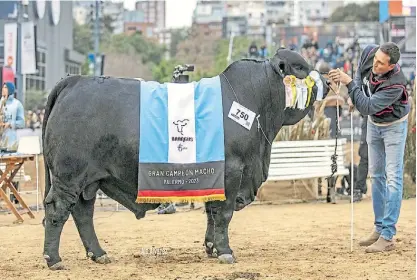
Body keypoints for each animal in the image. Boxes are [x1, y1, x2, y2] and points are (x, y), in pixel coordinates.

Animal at [41, 47, 328, 270]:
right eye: (300, 67)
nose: (326, 79)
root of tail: (75, 81)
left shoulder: (215, 176)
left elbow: (212, 212)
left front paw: (212, 247)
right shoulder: (233, 170)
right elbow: (224, 213)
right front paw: (226, 252)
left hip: (89, 181)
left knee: (83, 213)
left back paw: (99, 254)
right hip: (69, 176)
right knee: (57, 209)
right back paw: (54, 259)